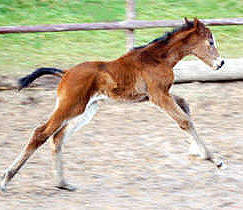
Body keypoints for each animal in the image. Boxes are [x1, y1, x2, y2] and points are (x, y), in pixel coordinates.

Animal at [0, 18, 224, 192]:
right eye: (210, 42)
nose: (221, 63)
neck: (157, 58)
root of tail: (66, 73)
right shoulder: (158, 95)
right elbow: (184, 121)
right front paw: (213, 159)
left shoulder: (158, 95)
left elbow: (185, 107)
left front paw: (195, 152)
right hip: (71, 106)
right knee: (41, 133)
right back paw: (6, 180)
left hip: (85, 111)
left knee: (58, 138)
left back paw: (63, 183)